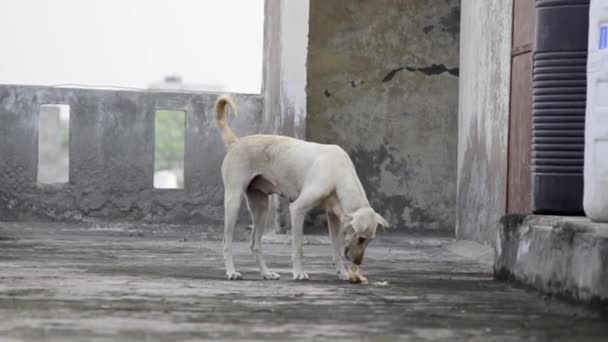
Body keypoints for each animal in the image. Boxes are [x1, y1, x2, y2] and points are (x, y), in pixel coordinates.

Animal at [216, 94, 388, 280]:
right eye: (362, 238)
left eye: (370, 240)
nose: (358, 263)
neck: (338, 172)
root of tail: (236, 142)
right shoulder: (297, 210)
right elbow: (298, 247)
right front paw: (299, 272)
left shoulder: (334, 218)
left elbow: (336, 248)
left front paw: (342, 273)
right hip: (233, 201)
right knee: (226, 242)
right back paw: (231, 272)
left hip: (261, 209)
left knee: (255, 245)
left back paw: (266, 273)